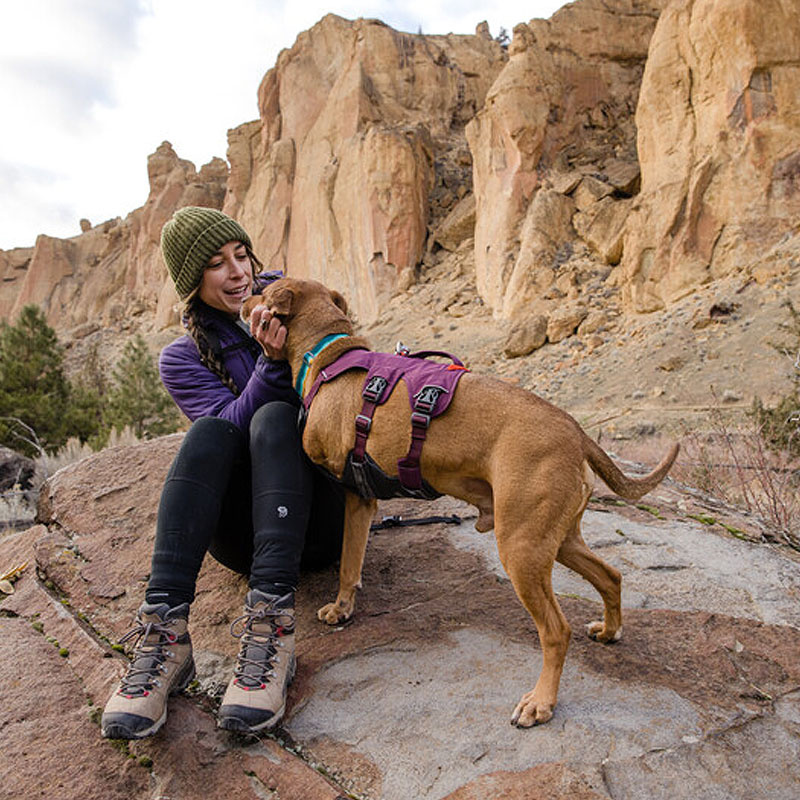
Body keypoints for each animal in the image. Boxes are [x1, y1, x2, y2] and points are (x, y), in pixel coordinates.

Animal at [241, 278, 680, 728]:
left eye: (262, 289)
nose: (243, 300)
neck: (327, 351)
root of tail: (576, 432)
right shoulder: (363, 499)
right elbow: (352, 565)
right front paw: (345, 607)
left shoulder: (353, 493)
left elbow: (347, 561)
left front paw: (340, 607)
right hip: (556, 539)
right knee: (611, 576)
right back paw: (610, 631)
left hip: (521, 548)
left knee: (557, 631)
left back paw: (540, 702)